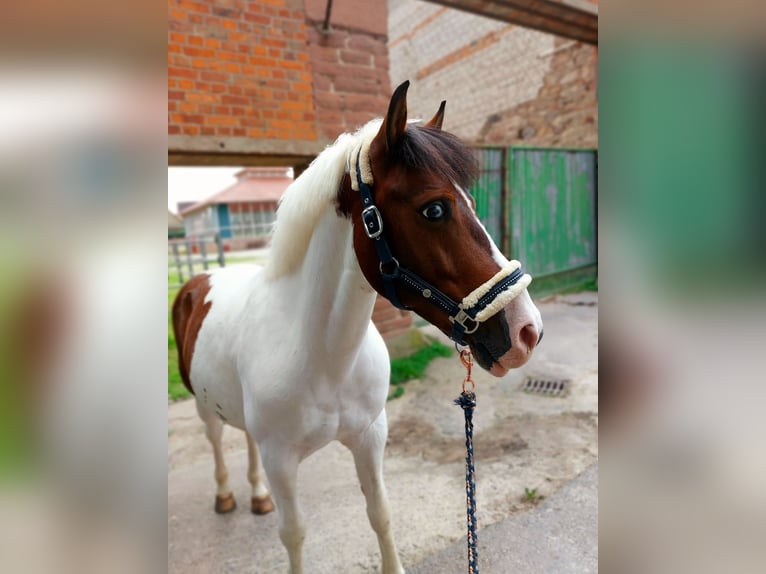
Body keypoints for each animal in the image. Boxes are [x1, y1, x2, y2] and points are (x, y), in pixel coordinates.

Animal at [172, 80, 543, 574]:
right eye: (434, 209)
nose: (527, 331)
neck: (322, 359)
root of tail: (201, 280)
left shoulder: (370, 437)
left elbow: (380, 513)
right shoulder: (281, 459)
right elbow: (294, 534)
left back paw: (256, 496)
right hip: (203, 407)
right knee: (215, 441)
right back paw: (227, 495)